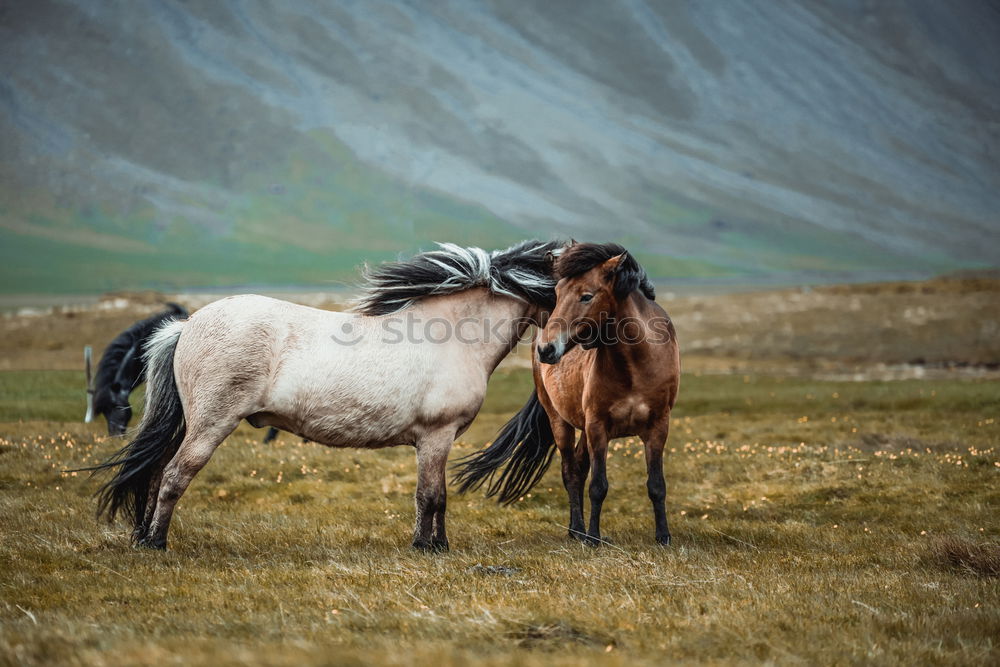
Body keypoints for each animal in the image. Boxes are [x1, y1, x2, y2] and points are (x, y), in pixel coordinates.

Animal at [456, 243, 680, 544]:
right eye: (558, 293)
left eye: (587, 296)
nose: (547, 349)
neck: (636, 365)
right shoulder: (598, 426)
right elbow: (598, 485)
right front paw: (594, 537)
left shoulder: (658, 426)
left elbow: (656, 485)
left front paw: (663, 537)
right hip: (561, 421)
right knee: (571, 473)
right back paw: (577, 532)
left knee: (580, 468)